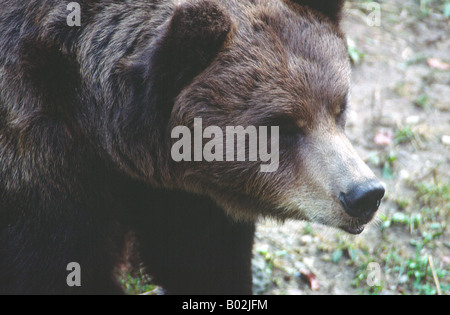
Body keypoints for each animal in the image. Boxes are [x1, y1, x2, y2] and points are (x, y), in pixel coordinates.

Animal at [0, 0, 384, 296]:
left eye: (339, 106)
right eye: (282, 124)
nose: (364, 193)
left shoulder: (186, 195)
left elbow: (201, 258)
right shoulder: (41, 170)